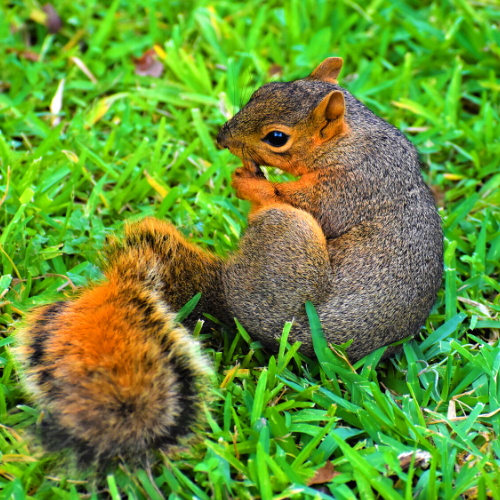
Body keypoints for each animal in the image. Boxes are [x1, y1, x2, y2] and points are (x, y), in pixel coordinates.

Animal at [14, 57, 443, 467]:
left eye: (277, 138)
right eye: (263, 89)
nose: (222, 137)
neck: (351, 140)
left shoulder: (350, 187)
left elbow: (307, 202)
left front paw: (248, 182)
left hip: (290, 235)